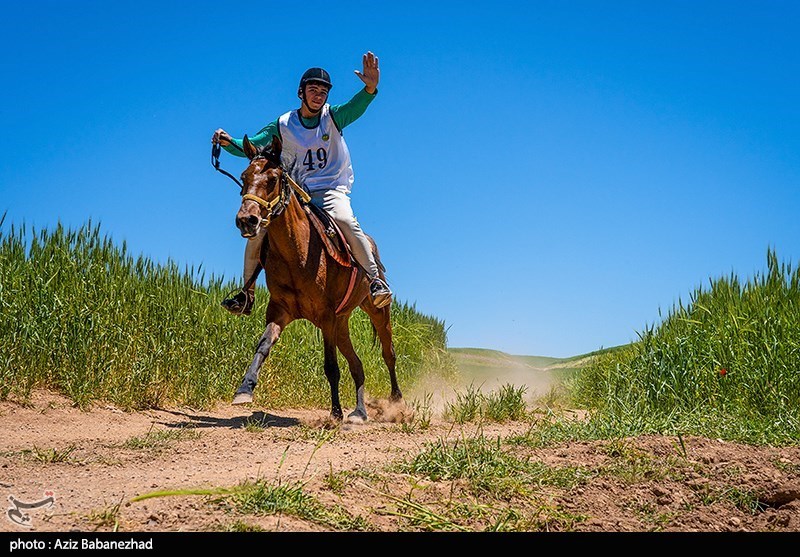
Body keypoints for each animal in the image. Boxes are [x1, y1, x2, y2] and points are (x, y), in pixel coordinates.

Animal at [228, 134, 404, 422]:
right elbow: (263, 346)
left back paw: (396, 402)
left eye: (273, 179)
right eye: (244, 177)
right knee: (357, 365)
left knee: (388, 353)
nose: (247, 220)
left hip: (376, 312)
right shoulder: (280, 311)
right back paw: (359, 412)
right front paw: (244, 389)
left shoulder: (326, 316)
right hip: (342, 323)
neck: (296, 253)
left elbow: (331, 366)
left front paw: (335, 413)